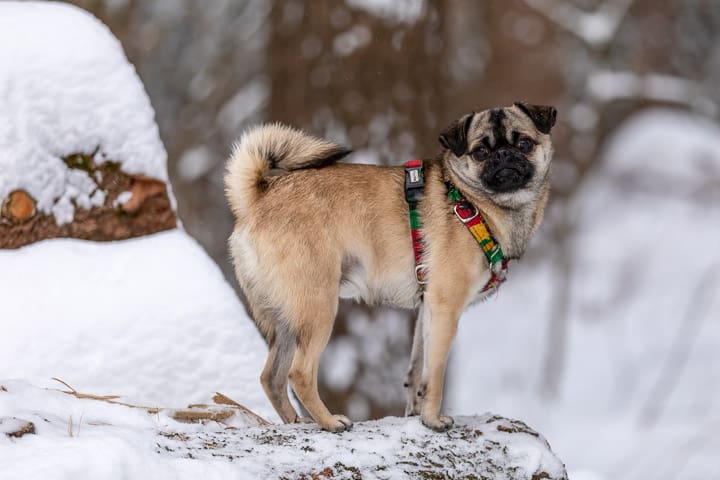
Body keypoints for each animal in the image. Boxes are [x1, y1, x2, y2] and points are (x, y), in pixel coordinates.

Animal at [225, 103, 556, 434]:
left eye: (524, 143)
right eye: (481, 152)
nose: (503, 155)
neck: (472, 203)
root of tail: (257, 199)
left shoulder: (428, 311)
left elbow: (417, 374)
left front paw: (416, 414)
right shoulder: (446, 309)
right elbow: (436, 374)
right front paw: (433, 420)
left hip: (286, 320)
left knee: (272, 378)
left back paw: (297, 422)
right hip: (317, 307)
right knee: (299, 374)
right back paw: (330, 421)